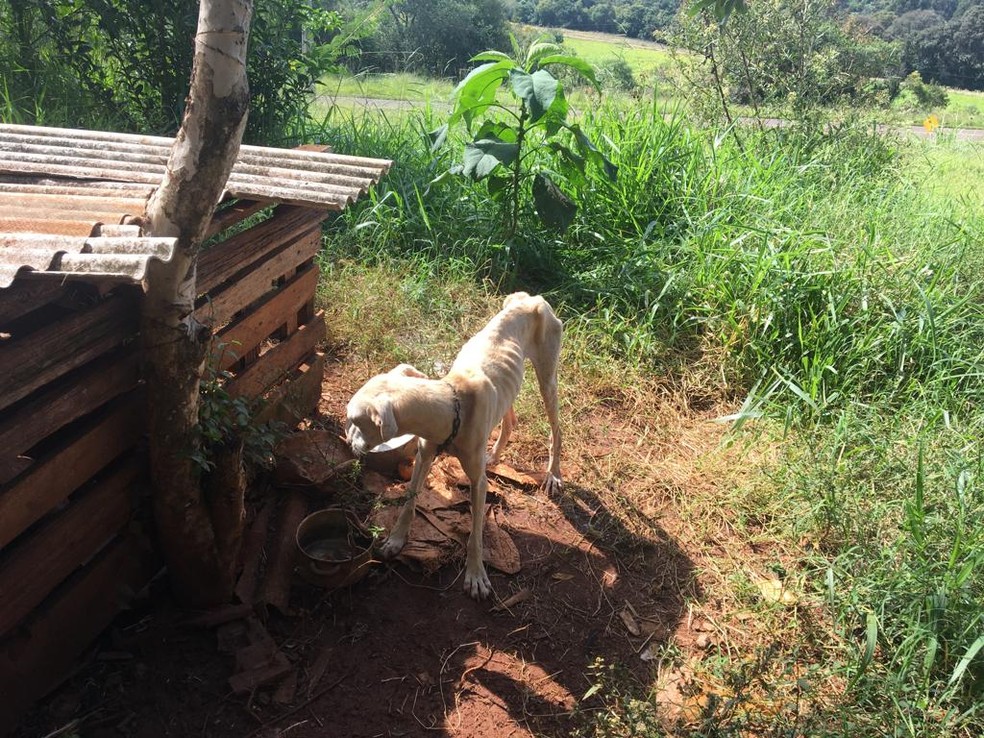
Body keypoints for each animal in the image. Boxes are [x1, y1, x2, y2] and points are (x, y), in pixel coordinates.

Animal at [346, 290, 560, 596]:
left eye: (354, 420)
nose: (348, 441)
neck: (453, 403)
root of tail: (531, 297)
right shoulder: (423, 458)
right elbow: (409, 501)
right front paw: (396, 540)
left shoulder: (479, 483)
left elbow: (476, 533)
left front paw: (476, 574)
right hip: (509, 388)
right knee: (510, 419)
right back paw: (495, 455)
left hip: (548, 378)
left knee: (556, 429)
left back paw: (553, 473)